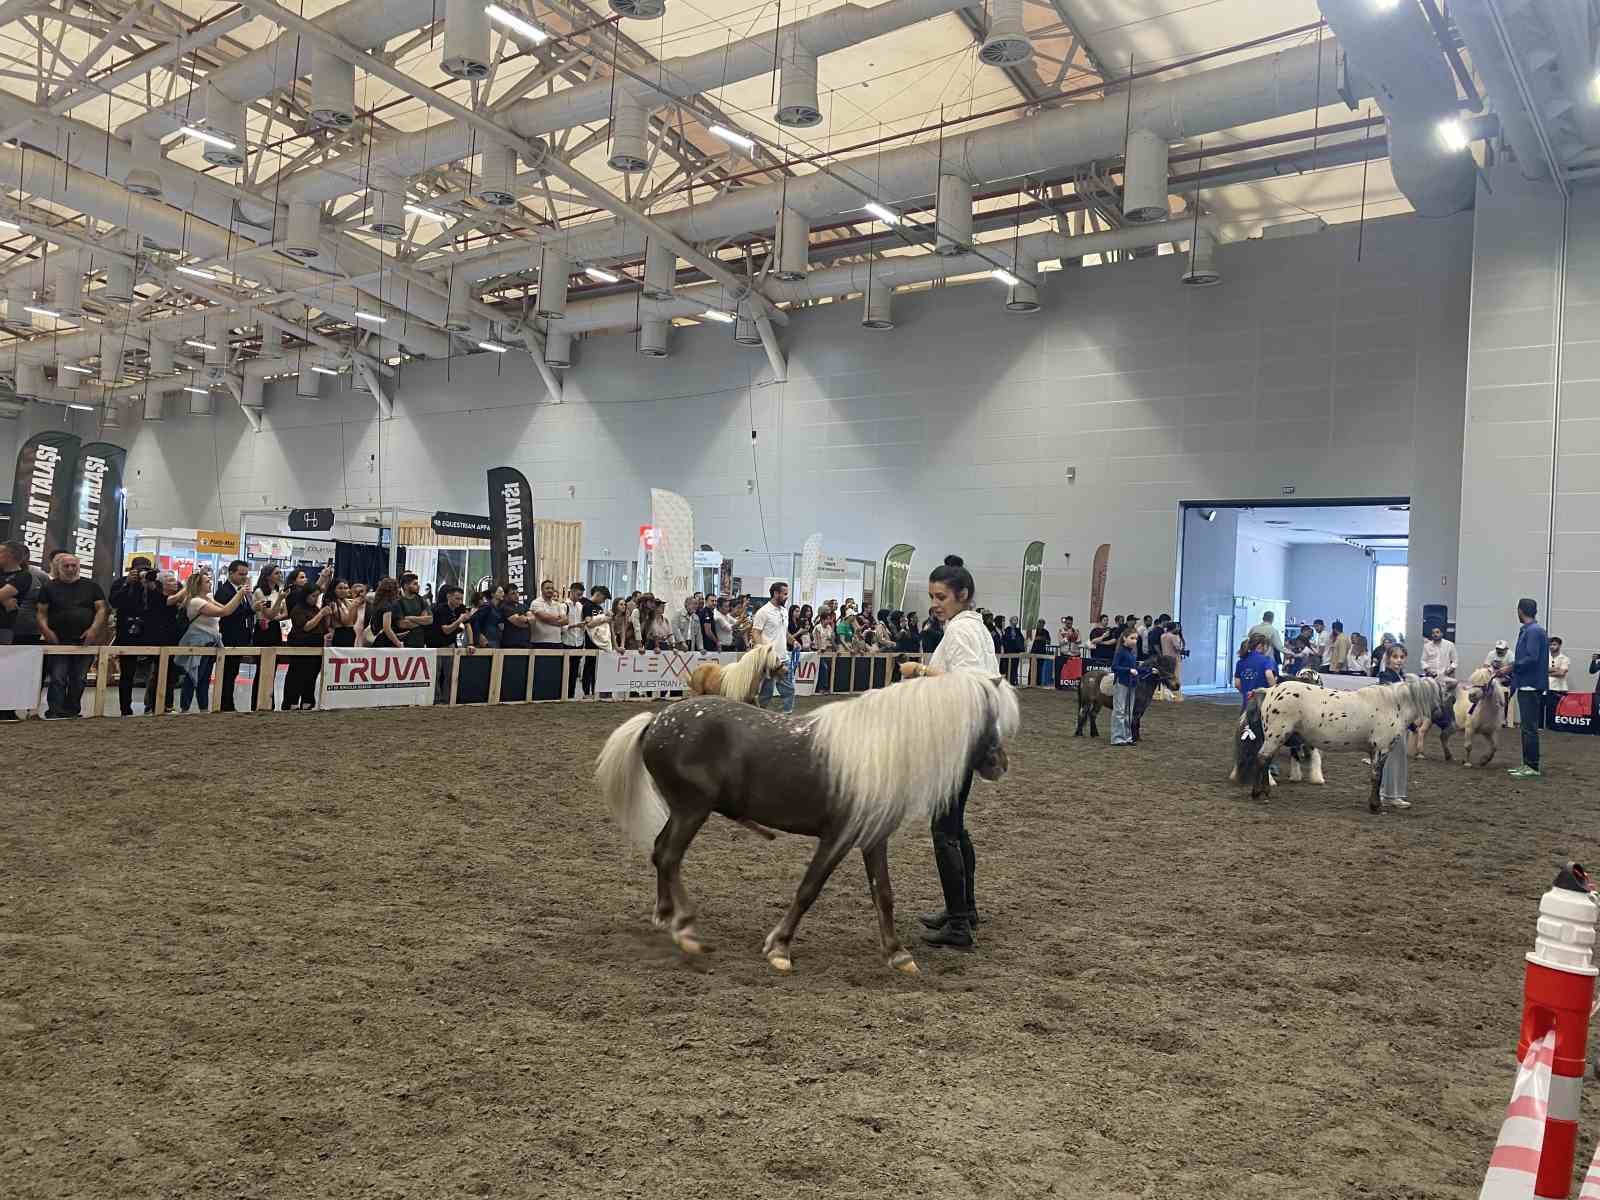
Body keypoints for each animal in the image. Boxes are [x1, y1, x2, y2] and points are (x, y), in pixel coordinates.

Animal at [595, 678, 1017, 979]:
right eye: (988, 718)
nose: (1000, 763)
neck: (879, 751)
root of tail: (654, 722)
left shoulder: (873, 839)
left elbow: (883, 895)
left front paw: (897, 953)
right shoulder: (838, 837)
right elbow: (808, 889)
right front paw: (779, 947)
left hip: (686, 812)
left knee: (661, 853)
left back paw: (667, 916)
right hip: (692, 810)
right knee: (668, 855)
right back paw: (685, 930)